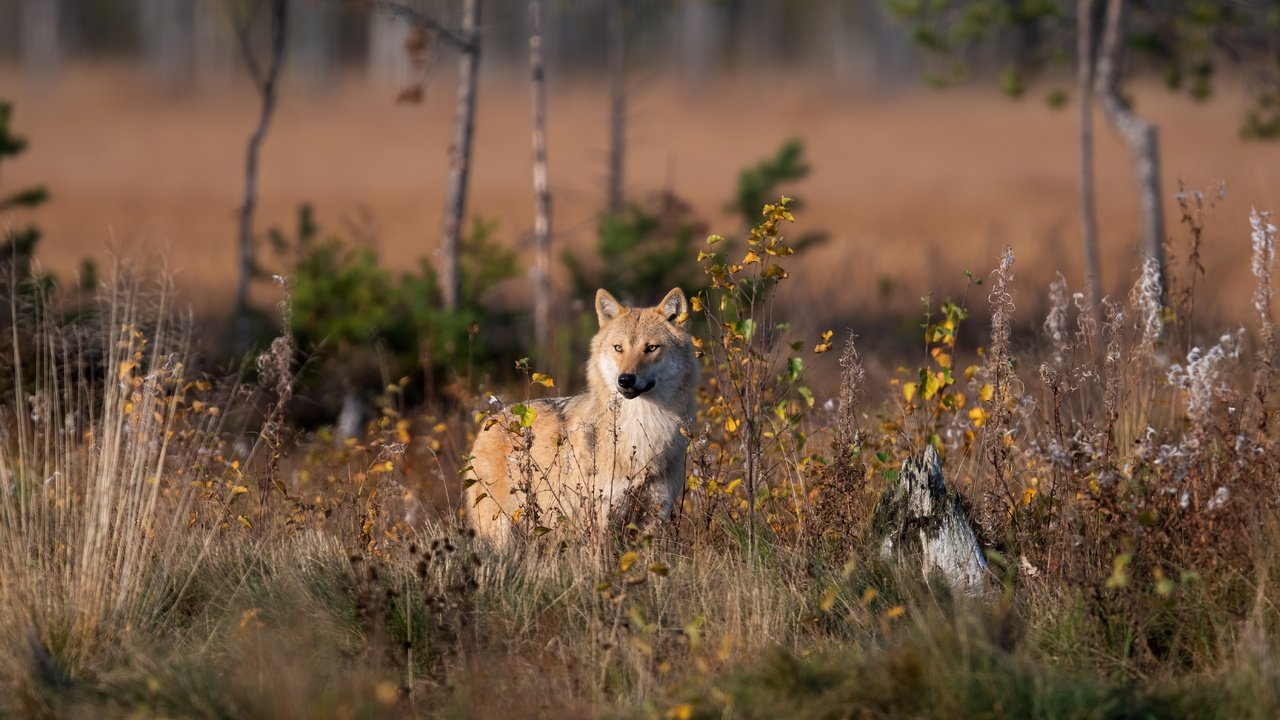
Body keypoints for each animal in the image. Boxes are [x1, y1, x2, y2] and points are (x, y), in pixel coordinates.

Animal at [465, 285, 696, 543]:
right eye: (618, 348)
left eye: (651, 348)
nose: (625, 380)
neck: (643, 427)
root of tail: (493, 417)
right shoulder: (601, 517)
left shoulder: (654, 518)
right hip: (500, 532)